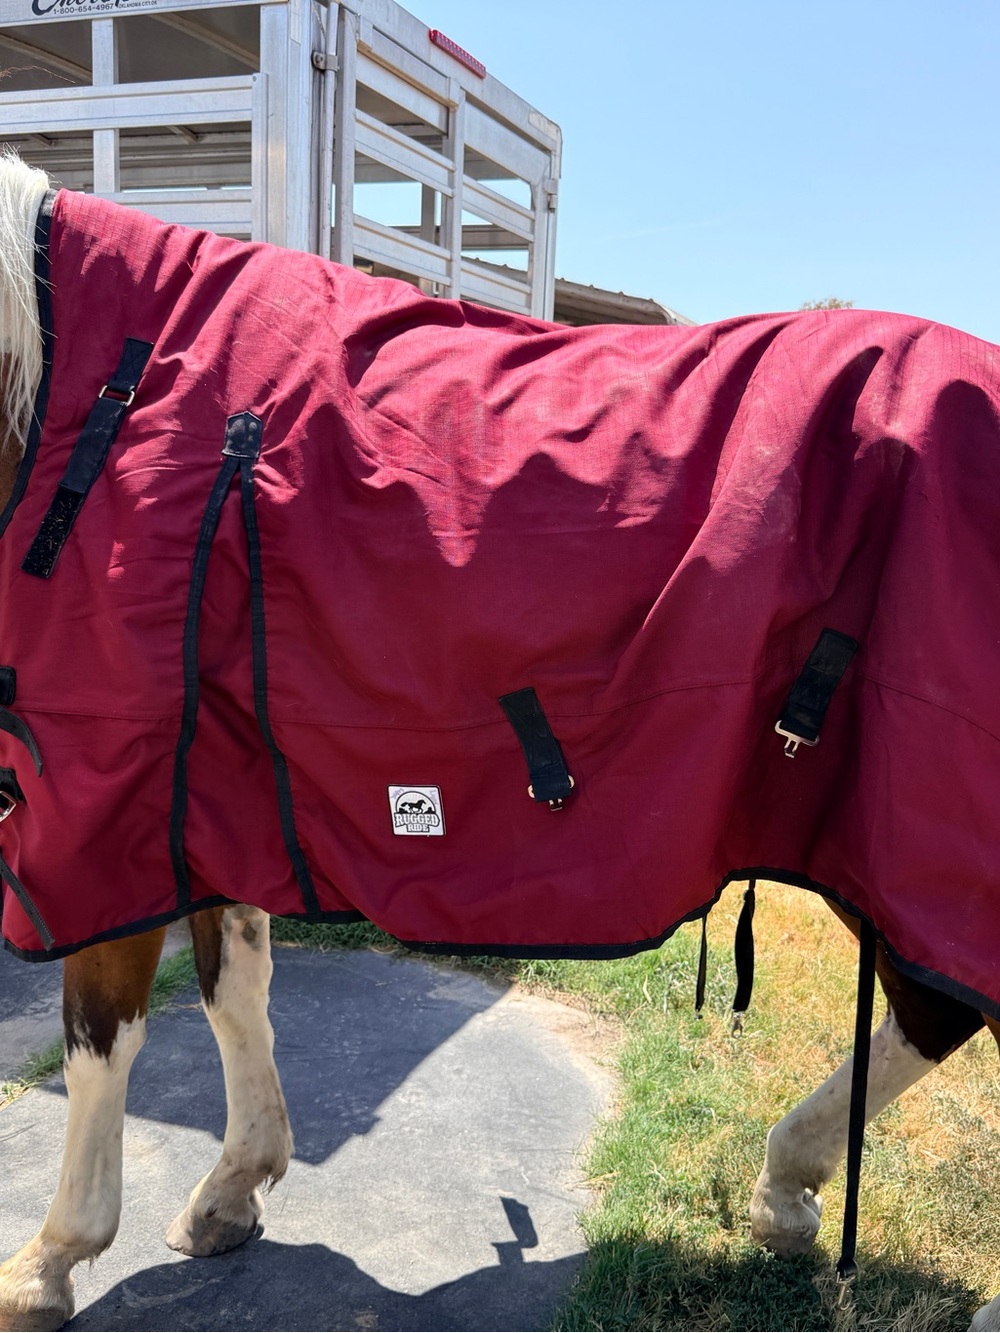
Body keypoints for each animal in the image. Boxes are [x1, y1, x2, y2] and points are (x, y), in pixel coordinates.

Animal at [0, 150, 999, 1332]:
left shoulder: (107, 808)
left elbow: (102, 1040)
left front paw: (49, 1260)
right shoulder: (208, 791)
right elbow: (233, 990)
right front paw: (231, 1189)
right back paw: (785, 1191)